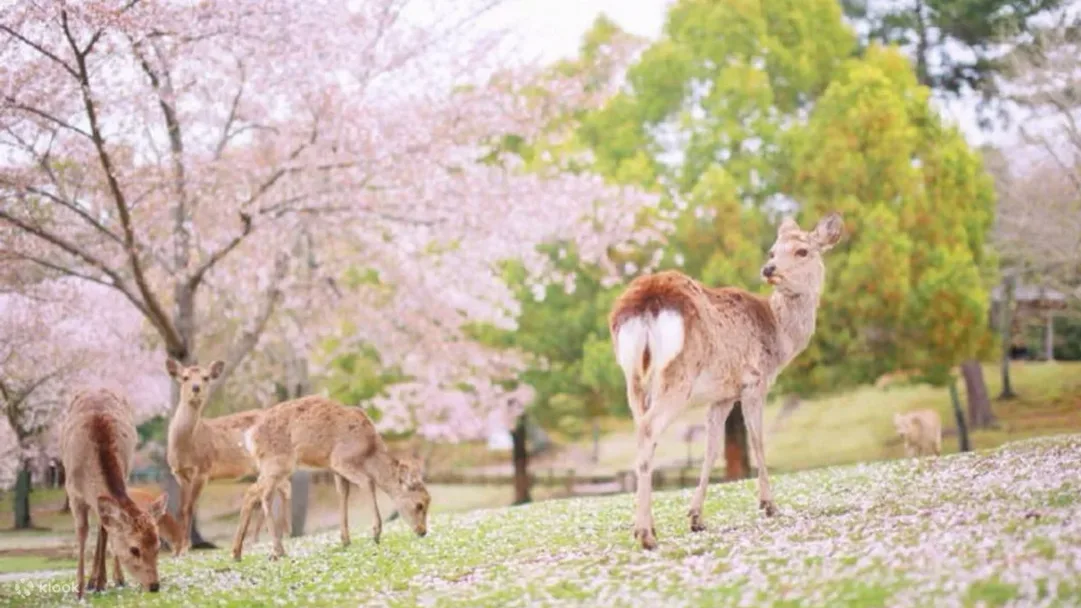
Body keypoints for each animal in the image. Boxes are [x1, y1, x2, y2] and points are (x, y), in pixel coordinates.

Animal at [58, 385, 164, 592]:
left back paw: (109, 579)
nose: (154, 585)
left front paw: (101, 581)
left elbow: (106, 529)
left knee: (104, 525)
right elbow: (82, 532)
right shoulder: (73, 492)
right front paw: (79, 588)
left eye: (158, 546)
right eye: (134, 549)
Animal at [162, 359, 285, 553]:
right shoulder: (179, 474)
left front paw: (185, 547)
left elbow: (190, 507)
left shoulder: (203, 470)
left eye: (205, 377)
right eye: (185, 377)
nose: (196, 388)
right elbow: (182, 508)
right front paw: (179, 548)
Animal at [232, 395, 430, 562]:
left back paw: (237, 553)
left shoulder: (335, 469)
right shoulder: (340, 460)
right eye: (419, 504)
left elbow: (343, 493)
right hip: (277, 462)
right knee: (263, 494)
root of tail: (250, 436)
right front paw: (375, 533)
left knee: (252, 492)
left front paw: (345, 540)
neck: (368, 452)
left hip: (272, 465)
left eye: (428, 501)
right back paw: (277, 551)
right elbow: (368, 482)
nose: (422, 531)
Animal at [609, 212, 843, 549]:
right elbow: (757, 440)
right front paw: (769, 505)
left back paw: (647, 527)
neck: (780, 339)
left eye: (802, 251)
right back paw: (645, 535)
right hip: (679, 374)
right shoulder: (754, 381)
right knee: (649, 428)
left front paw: (696, 517)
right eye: (773, 251)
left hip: (632, 375)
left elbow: (711, 449)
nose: (769, 269)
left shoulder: (721, 395)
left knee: (641, 429)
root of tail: (645, 303)